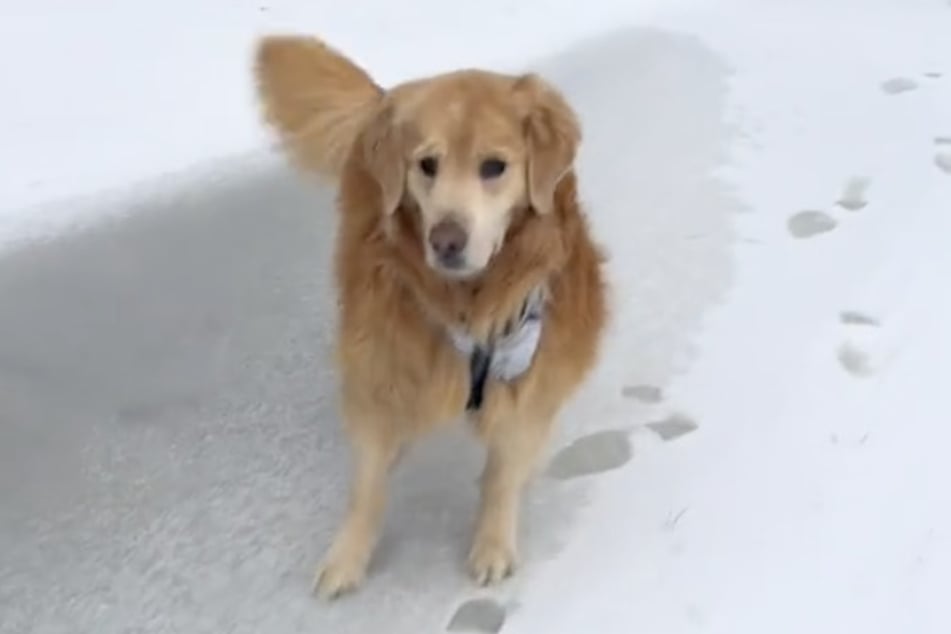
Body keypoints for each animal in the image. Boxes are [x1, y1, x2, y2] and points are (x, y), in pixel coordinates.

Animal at [256, 34, 608, 596]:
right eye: (427, 165)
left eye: (494, 166)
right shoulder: (383, 363)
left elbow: (504, 470)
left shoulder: (529, 369)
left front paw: (492, 543)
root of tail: (386, 96)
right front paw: (348, 556)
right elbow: (368, 482)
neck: (468, 302)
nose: (445, 239)